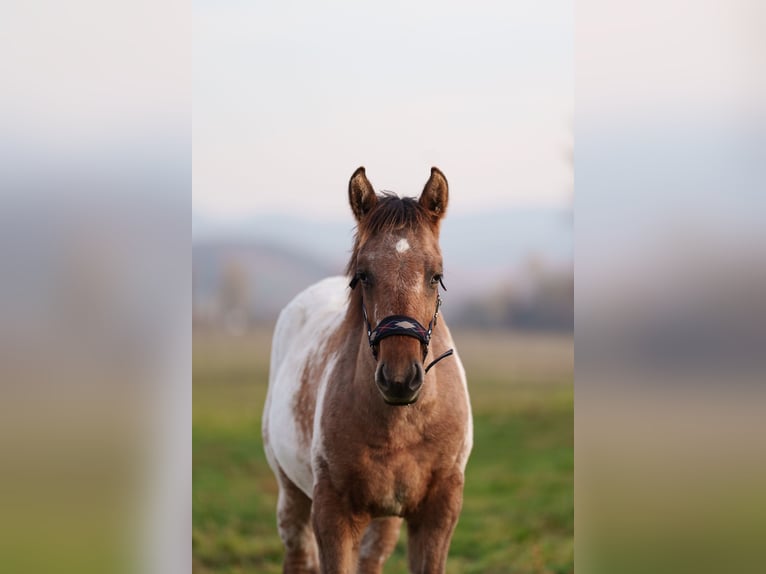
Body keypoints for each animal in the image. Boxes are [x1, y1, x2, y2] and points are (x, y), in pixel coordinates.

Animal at [264, 169, 474, 572]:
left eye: (435, 275)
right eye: (363, 275)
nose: (400, 379)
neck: (402, 426)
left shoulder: (438, 514)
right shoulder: (333, 515)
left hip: (385, 521)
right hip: (291, 497)